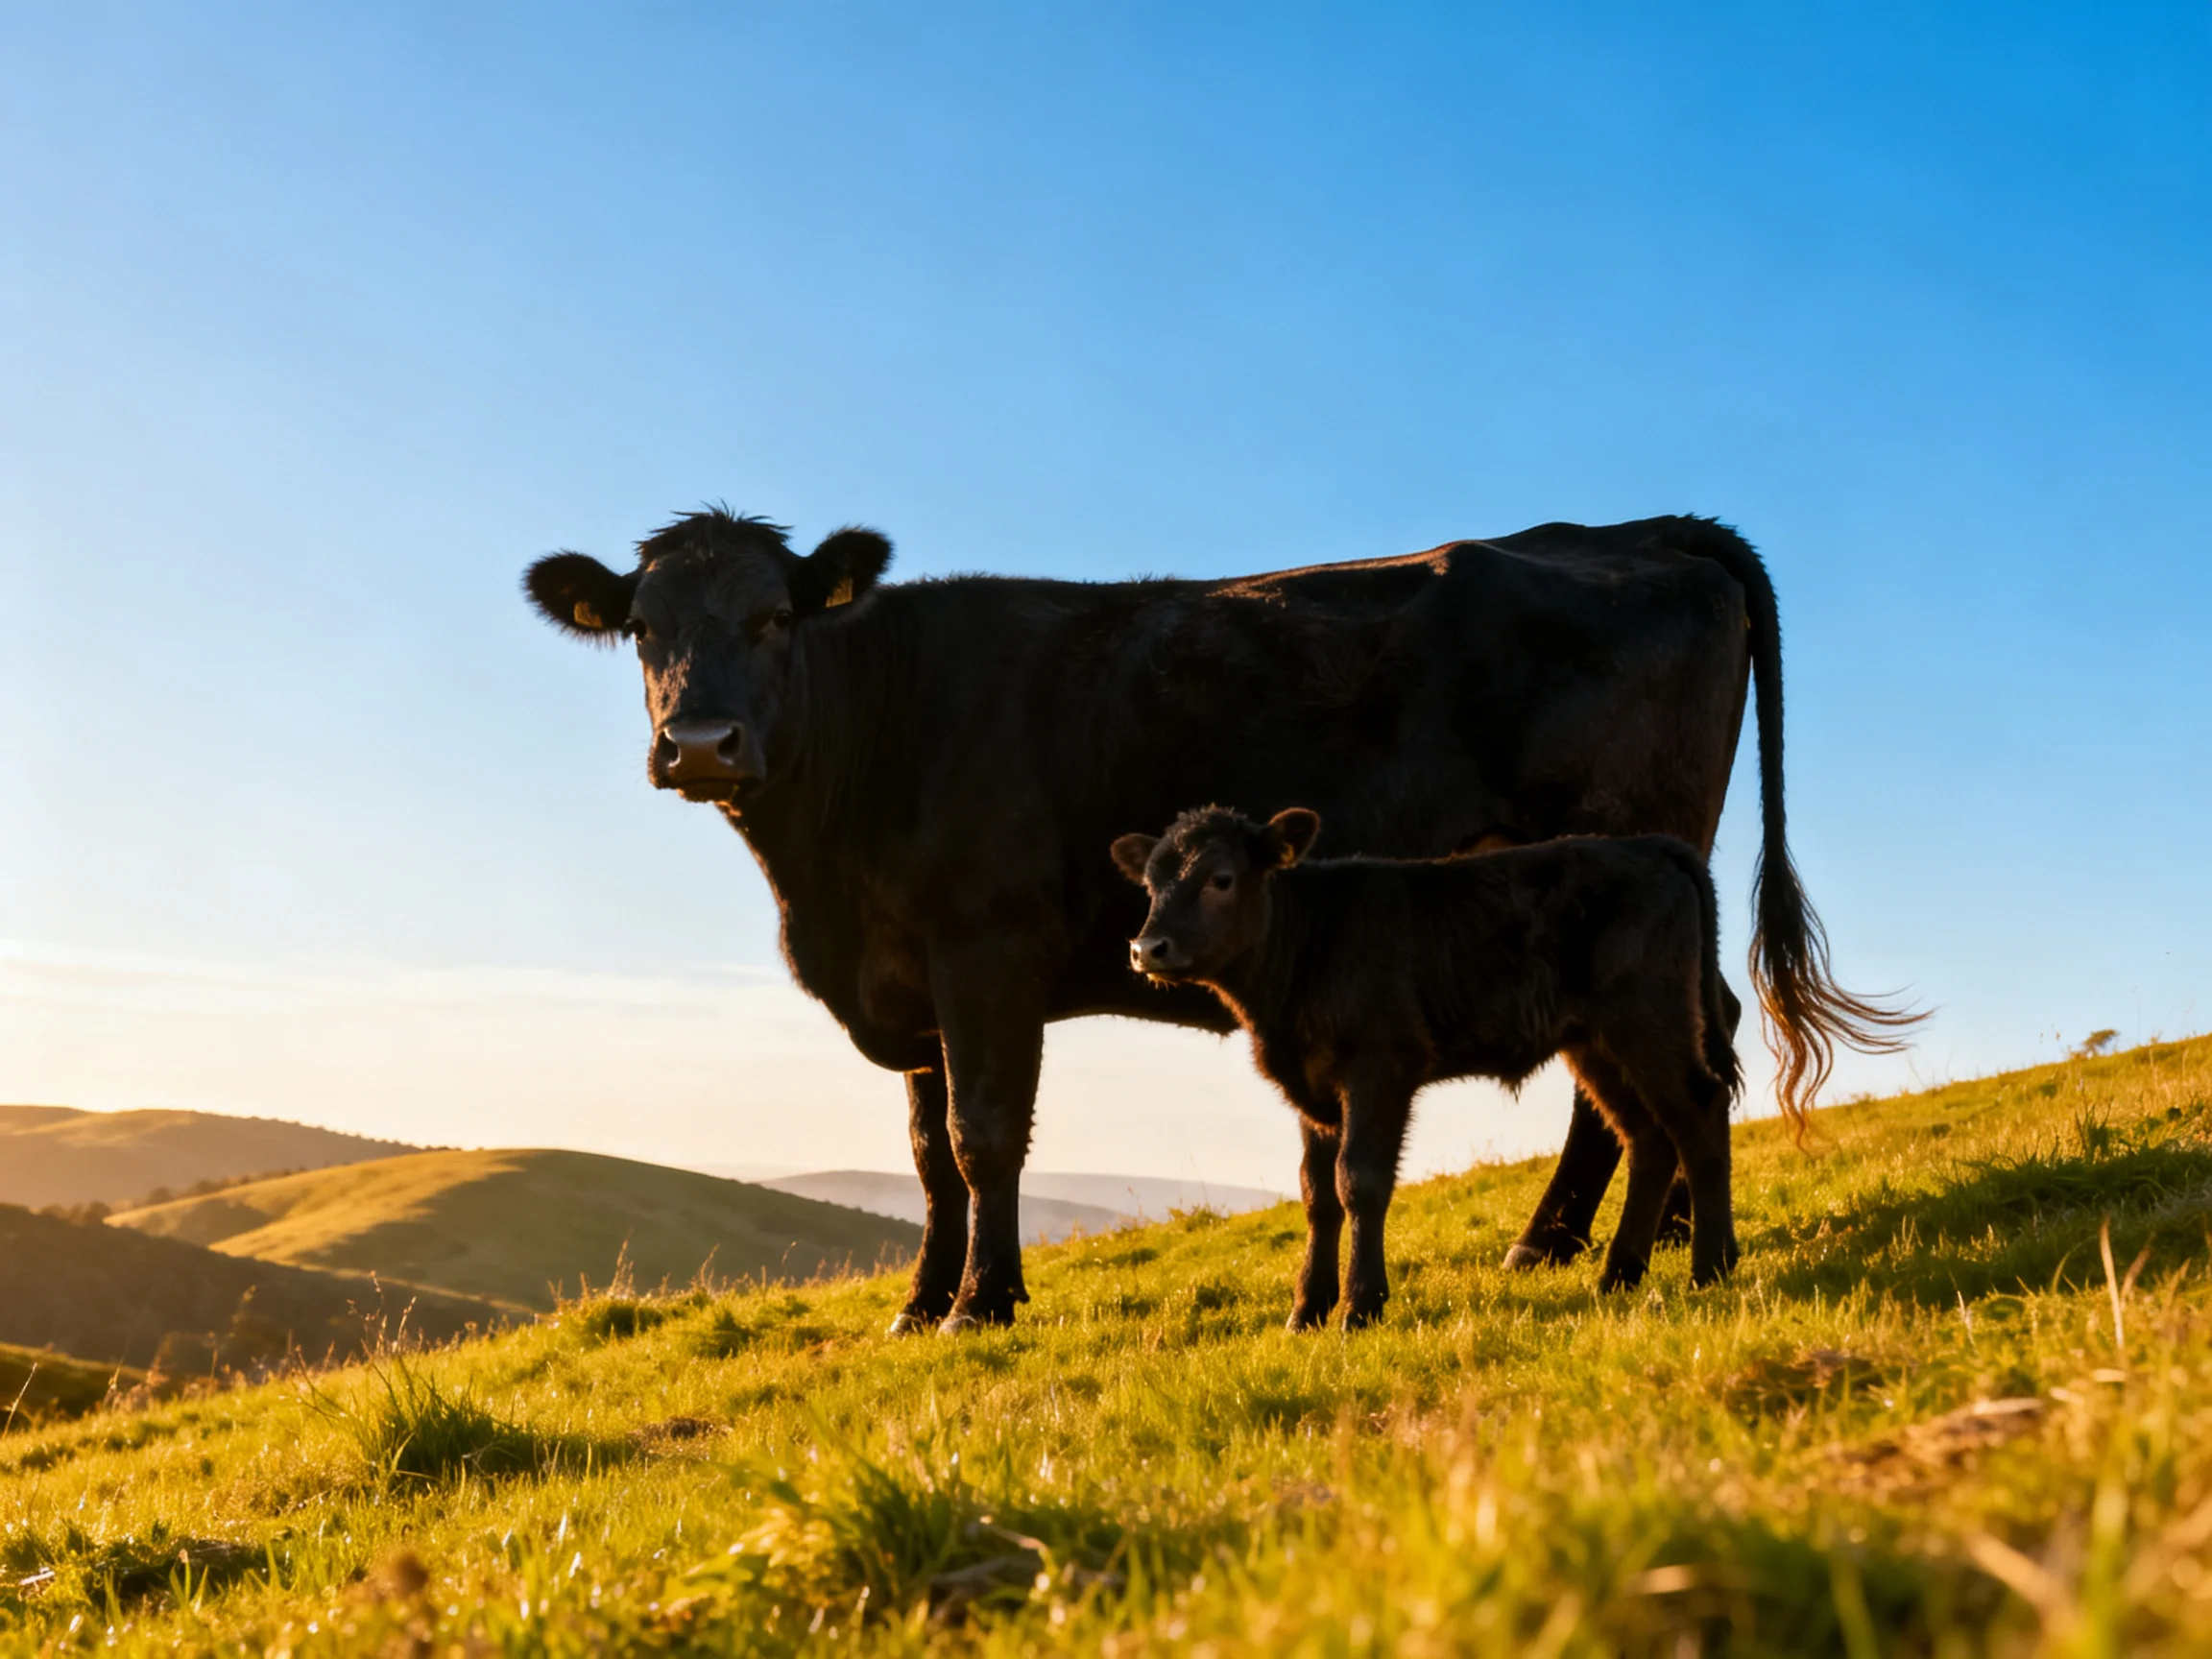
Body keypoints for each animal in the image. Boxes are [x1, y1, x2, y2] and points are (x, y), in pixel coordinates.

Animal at [1113, 807, 1742, 1326]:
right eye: (1150, 884)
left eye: (1221, 879)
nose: (1147, 949)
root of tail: (1650, 845)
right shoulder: (1313, 1086)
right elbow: (1316, 1194)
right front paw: (1306, 1310)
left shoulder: (1380, 1065)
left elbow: (1359, 1181)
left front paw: (1360, 1306)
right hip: (1596, 1043)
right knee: (1647, 1137)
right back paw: (1618, 1275)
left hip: (1648, 1019)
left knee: (1698, 1113)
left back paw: (1711, 1266)